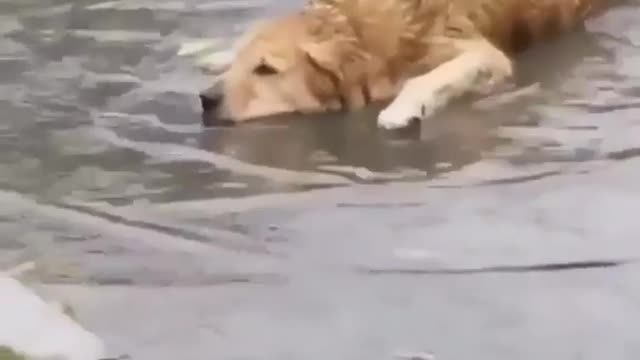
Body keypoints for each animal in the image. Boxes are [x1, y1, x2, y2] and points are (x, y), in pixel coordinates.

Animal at [198, 0, 612, 129]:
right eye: (243, 63)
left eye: (267, 70)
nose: (205, 100)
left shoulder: (481, 52)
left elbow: (428, 77)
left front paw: (402, 110)